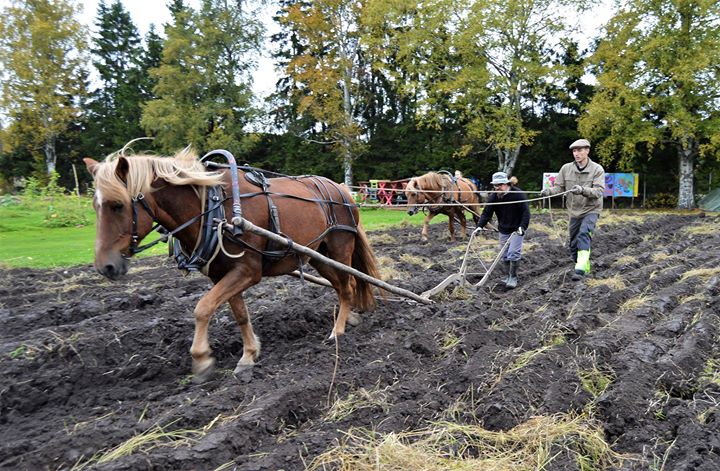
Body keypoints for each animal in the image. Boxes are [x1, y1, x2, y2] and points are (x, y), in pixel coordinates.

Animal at [83, 149, 382, 382]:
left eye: (118, 205)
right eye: (95, 206)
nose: (105, 267)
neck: (212, 210)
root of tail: (343, 190)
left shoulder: (247, 271)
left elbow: (202, 308)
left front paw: (202, 359)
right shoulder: (222, 275)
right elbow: (239, 314)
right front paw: (249, 355)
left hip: (339, 248)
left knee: (348, 284)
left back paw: (337, 331)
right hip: (318, 255)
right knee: (342, 284)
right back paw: (349, 318)